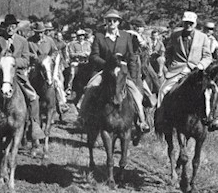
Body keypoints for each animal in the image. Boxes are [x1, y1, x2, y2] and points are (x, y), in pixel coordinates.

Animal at [82, 55, 139, 188]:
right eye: (109, 74)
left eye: (125, 73)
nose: (116, 100)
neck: (117, 109)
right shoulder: (106, 132)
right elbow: (110, 160)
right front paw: (111, 182)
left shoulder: (126, 133)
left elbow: (123, 159)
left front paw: (121, 179)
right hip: (92, 127)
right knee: (90, 144)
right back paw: (92, 167)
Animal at [155, 65, 218, 193]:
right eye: (199, 93)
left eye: (214, 93)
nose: (208, 120)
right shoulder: (181, 132)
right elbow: (184, 157)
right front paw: (184, 184)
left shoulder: (201, 137)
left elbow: (196, 161)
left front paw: (192, 185)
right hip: (168, 130)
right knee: (172, 151)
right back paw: (174, 177)